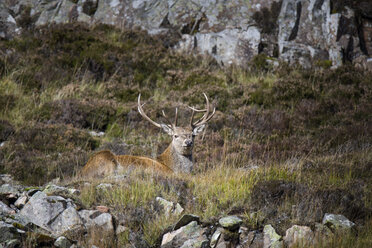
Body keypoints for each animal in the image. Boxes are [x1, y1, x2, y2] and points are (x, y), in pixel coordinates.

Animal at [80, 92, 215, 176]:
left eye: (193, 135)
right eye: (175, 135)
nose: (188, 142)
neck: (172, 167)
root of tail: (82, 172)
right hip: (106, 159)